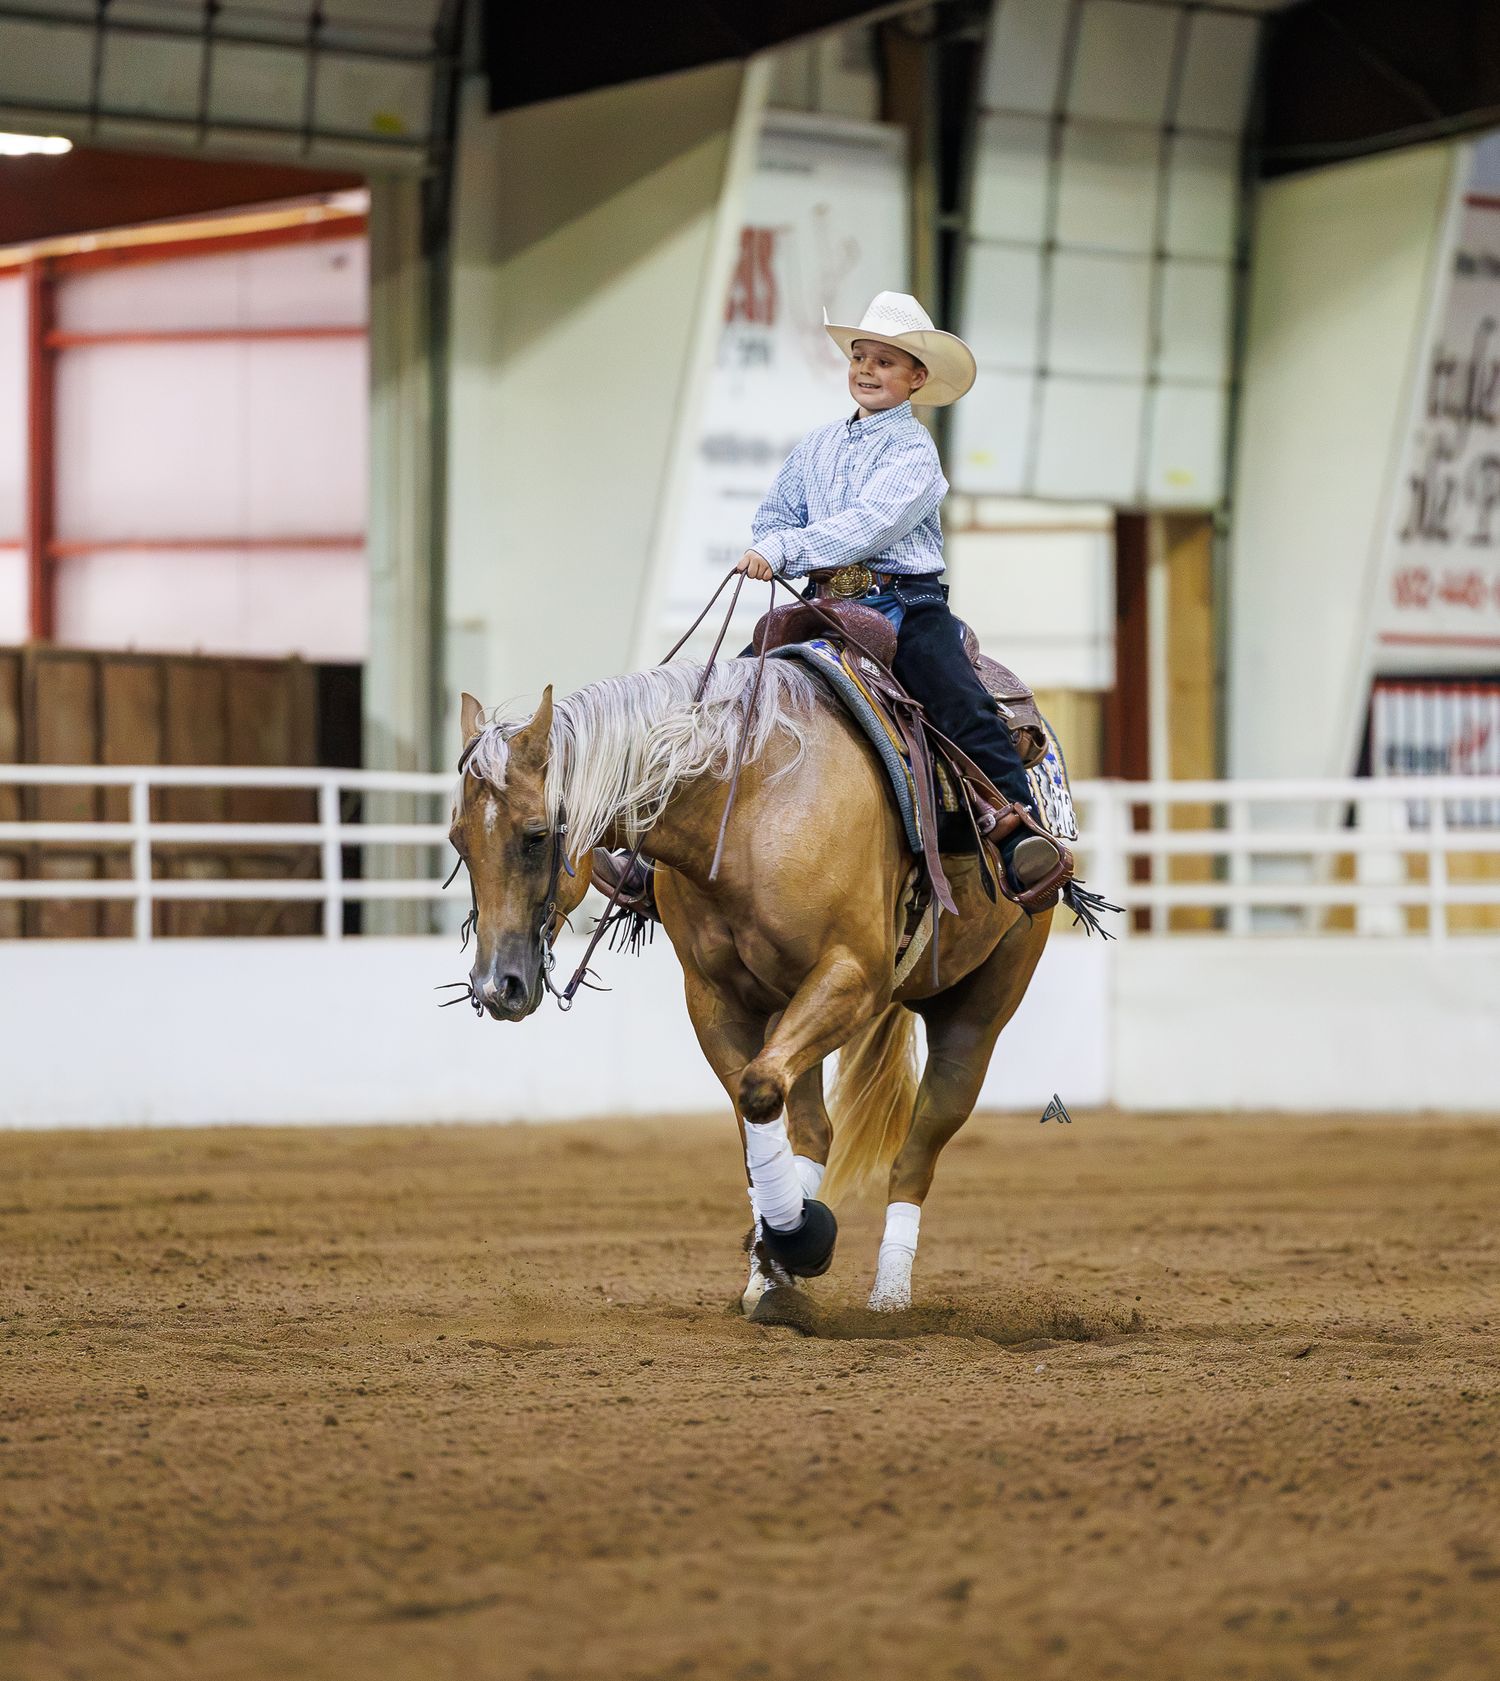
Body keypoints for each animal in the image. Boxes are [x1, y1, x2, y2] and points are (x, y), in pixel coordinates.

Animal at [449, 656, 1052, 1314]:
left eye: (536, 835)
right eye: (458, 840)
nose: (496, 986)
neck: (741, 808)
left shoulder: (852, 977)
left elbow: (760, 1092)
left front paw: (801, 1242)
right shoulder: (716, 1002)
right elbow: (752, 1116)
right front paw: (775, 1260)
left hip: (973, 1019)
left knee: (915, 1153)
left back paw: (889, 1293)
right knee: (813, 1128)